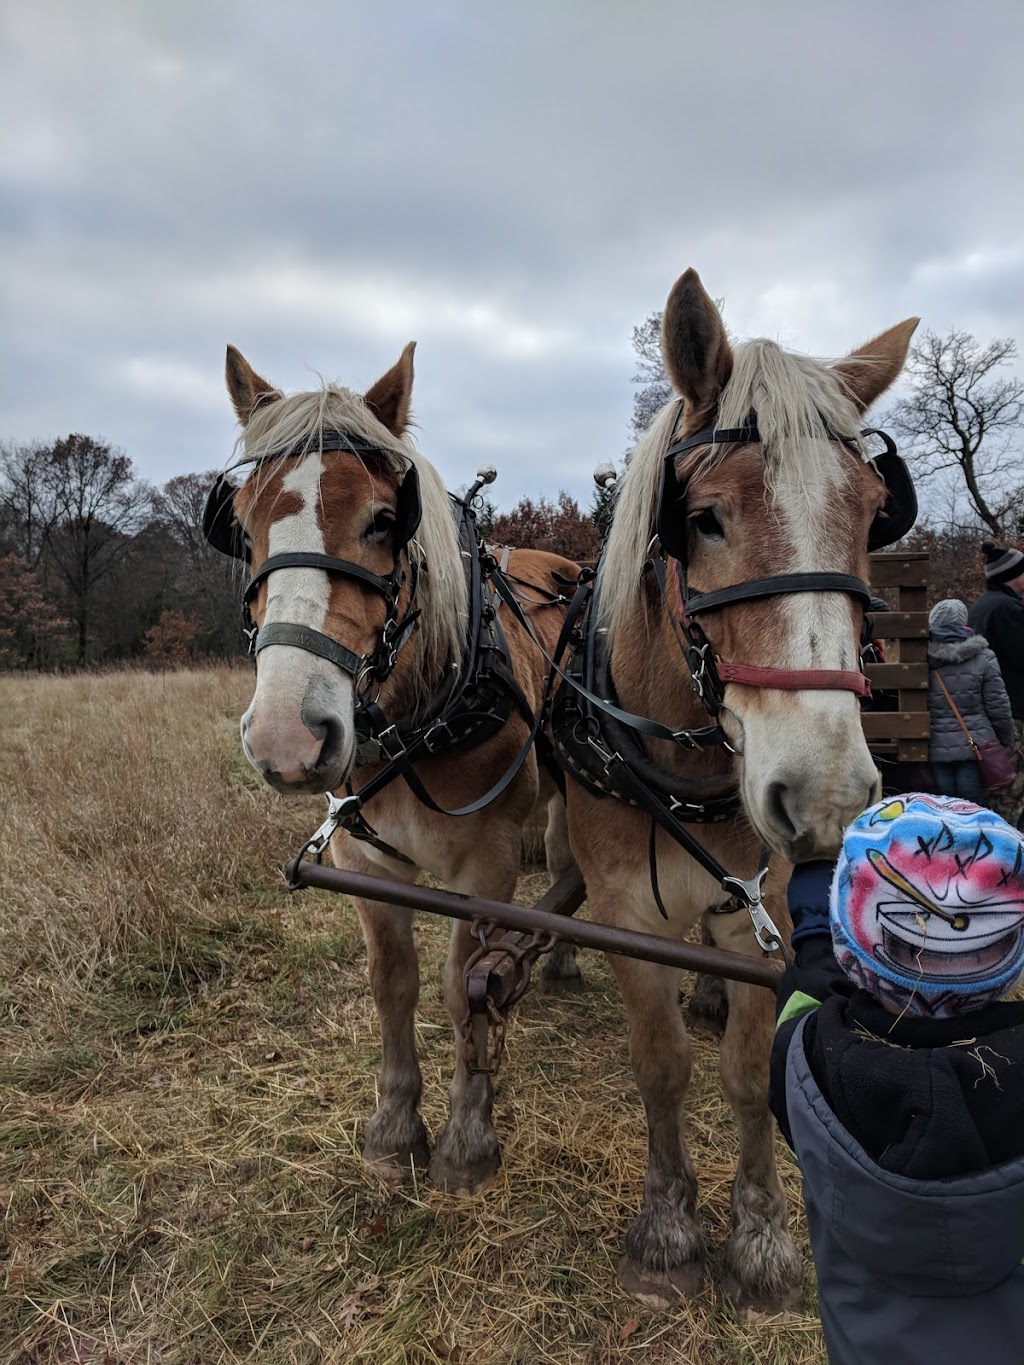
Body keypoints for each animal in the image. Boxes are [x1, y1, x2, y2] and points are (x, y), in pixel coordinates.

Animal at [208, 343, 581, 1195]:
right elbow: (393, 983)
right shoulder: (363, 857)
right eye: (241, 528)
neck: (424, 711)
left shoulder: (487, 865)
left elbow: (461, 986)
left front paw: (468, 1137)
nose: (286, 736)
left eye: (384, 521)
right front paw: (394, 1126)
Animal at [570, 274, 922, 1310]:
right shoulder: (624, 914)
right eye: (706, 517)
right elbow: (661, 1067)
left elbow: (741, 1069)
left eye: (872, 514)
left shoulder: (753, 905)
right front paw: (668, 1220)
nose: (828, 796)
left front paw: (762, 1231)